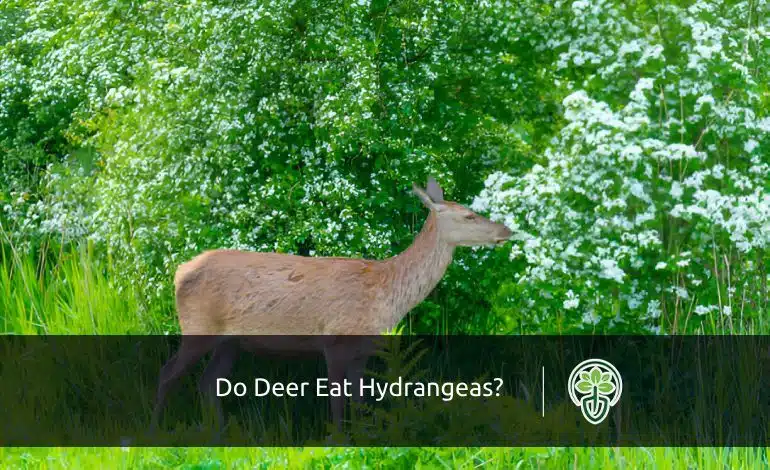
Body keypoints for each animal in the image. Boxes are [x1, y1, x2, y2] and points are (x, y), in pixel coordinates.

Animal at [150, 176, 512, 433]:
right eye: (468, 215)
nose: (506, 230)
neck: (388, 293)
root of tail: (179, 273)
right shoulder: (336, 338)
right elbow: (338, 402)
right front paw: (338, 440)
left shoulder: (364, 348)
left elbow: (359, 400)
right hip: (197, 327)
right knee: (167, 374)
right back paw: (155, 430)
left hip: (230, 341)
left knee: (208, 382)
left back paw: (221, 434)